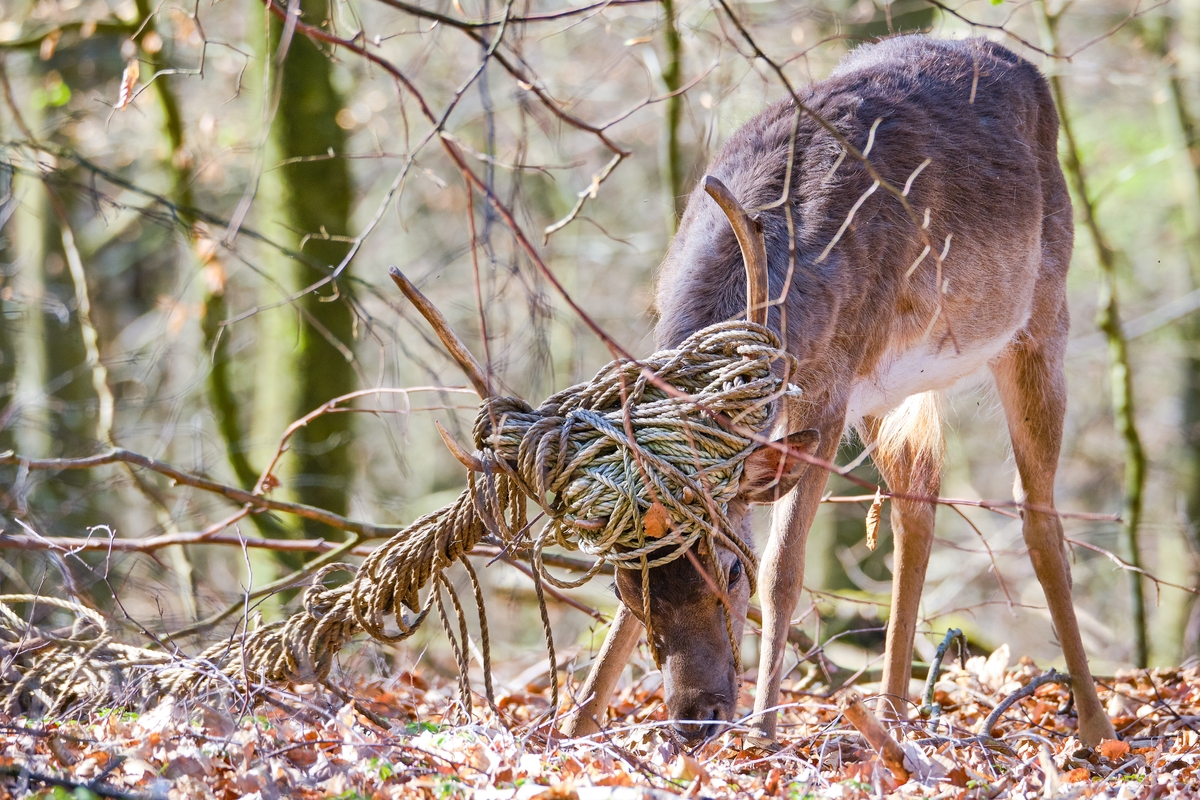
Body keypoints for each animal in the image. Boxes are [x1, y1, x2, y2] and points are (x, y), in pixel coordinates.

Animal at [566, 34, 1118, 748]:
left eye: (732, 568)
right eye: (622, 588)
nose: (696, 717)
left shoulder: (826, 391)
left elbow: (785, 569)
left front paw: (766, 731)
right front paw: (573, 724)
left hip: (1042, 314)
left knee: (1039, 514)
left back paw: (1095, 723)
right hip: (892, 387)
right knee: (918, 502)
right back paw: (893, 714)